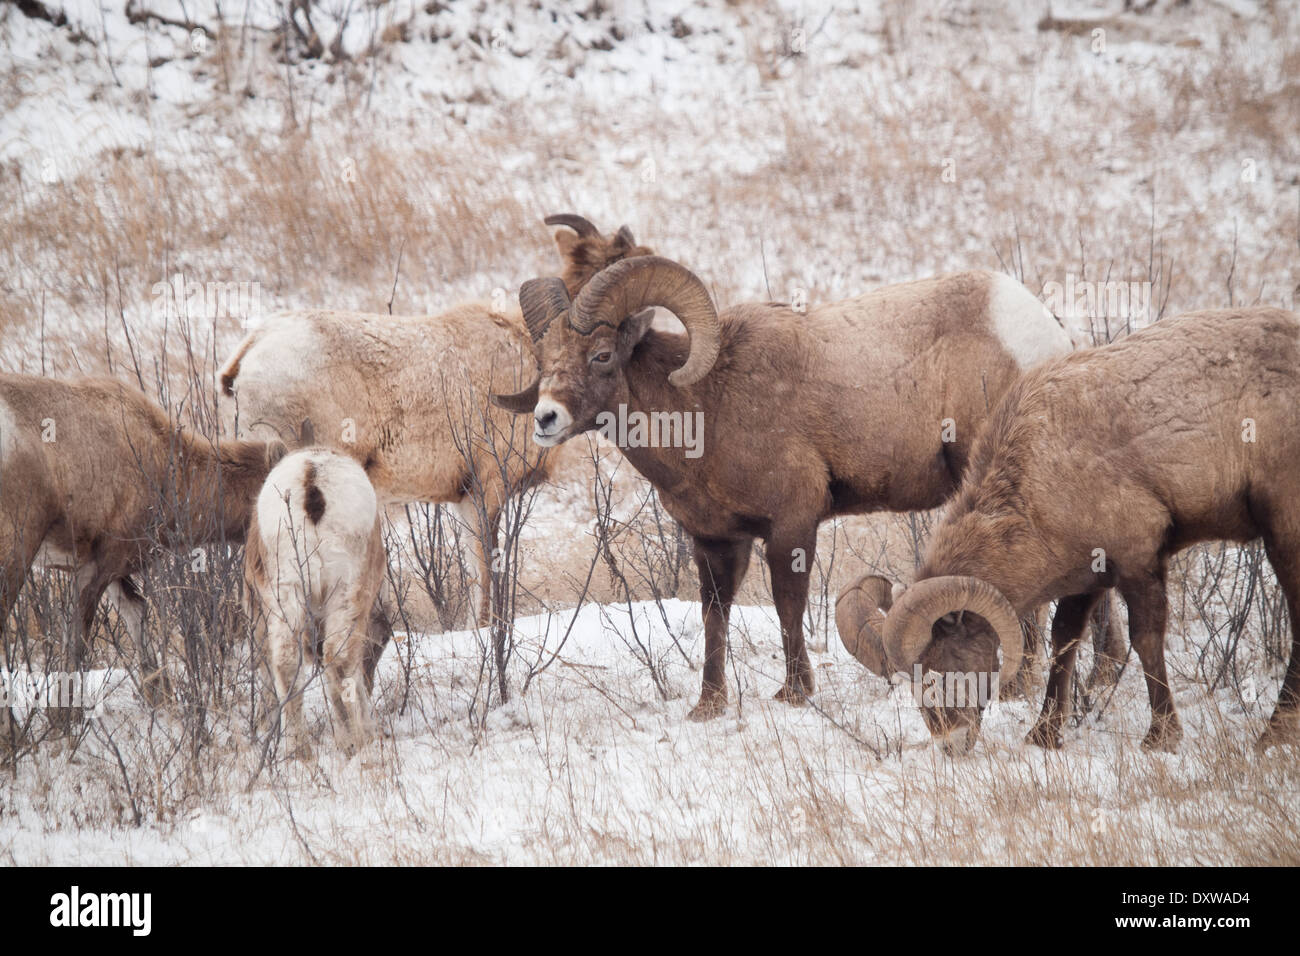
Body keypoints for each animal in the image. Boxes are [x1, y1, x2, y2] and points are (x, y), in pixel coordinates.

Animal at [244, 447, 382, 754]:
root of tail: (311, 477)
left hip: (286, 589)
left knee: (286, 660)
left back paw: (298, 751)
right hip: (345, 588)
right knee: (339, 657)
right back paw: (358, 740)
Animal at [488, 257, 1086, 723]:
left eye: (602, 355)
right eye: (543, 361)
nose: (546, 418)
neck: (707, 408)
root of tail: (1043, 331)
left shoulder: (792, 525)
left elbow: (788, 605)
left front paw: (794, 693)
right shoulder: (714, 542)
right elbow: (714, 616)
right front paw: (708, 706)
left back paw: (1016, 689)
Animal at [842, 306, 1300, 754]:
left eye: (938, 669)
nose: (950, 744)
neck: (1041, 473)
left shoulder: (1139, 561)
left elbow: (1146, 640)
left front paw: (1160, 738)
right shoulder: (1088, 579)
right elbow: (1064, 644)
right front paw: (1043, 736)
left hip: (1284, 535)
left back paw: (1272, 736)